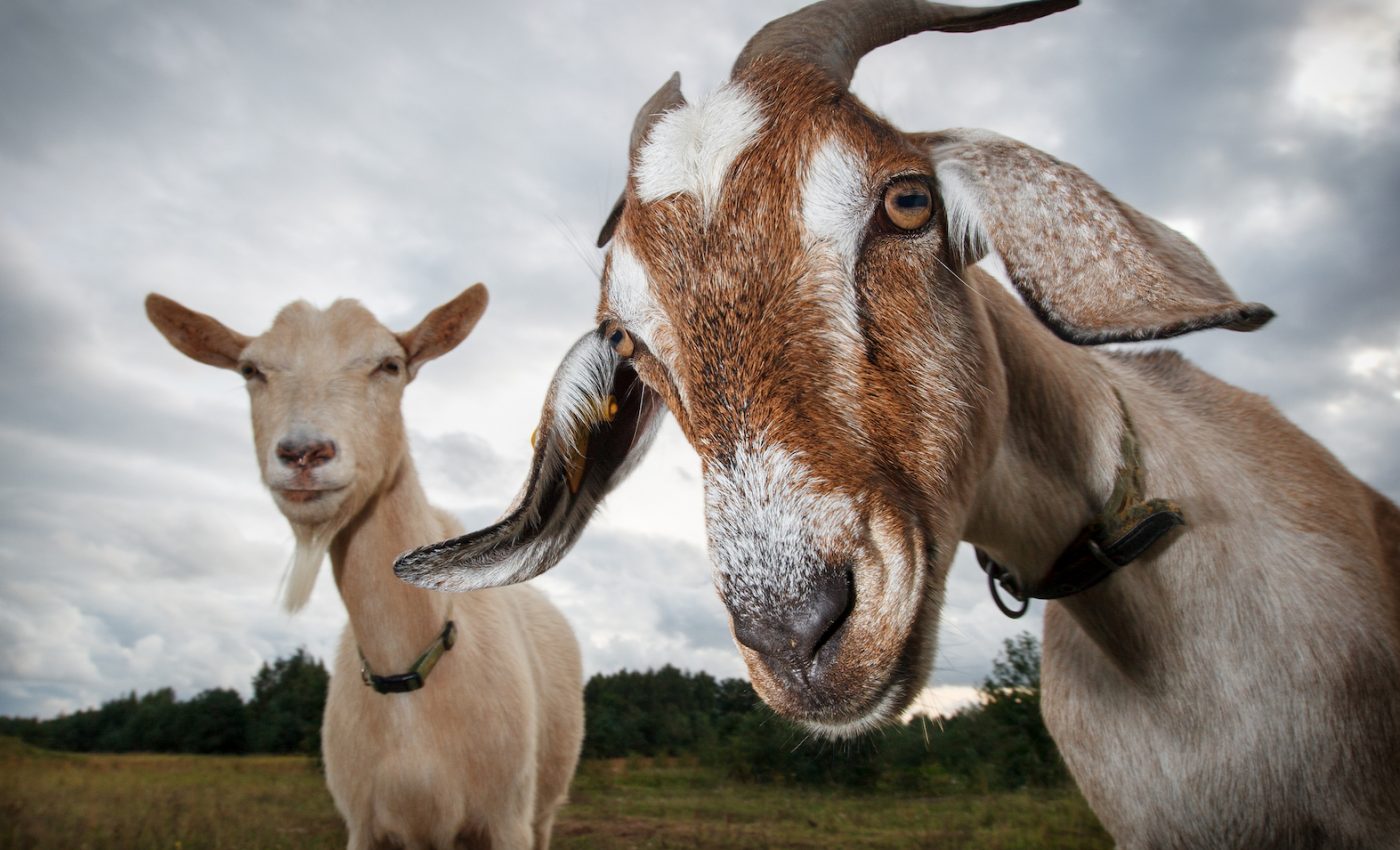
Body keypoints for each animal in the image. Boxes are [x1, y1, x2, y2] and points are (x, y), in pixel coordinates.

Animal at [146, 286, 583, 850]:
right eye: (250, 370)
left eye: (390, 365)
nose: (304, 453)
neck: (408, 673)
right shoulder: (364, 825)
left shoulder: (506, 819)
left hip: (544, 805)